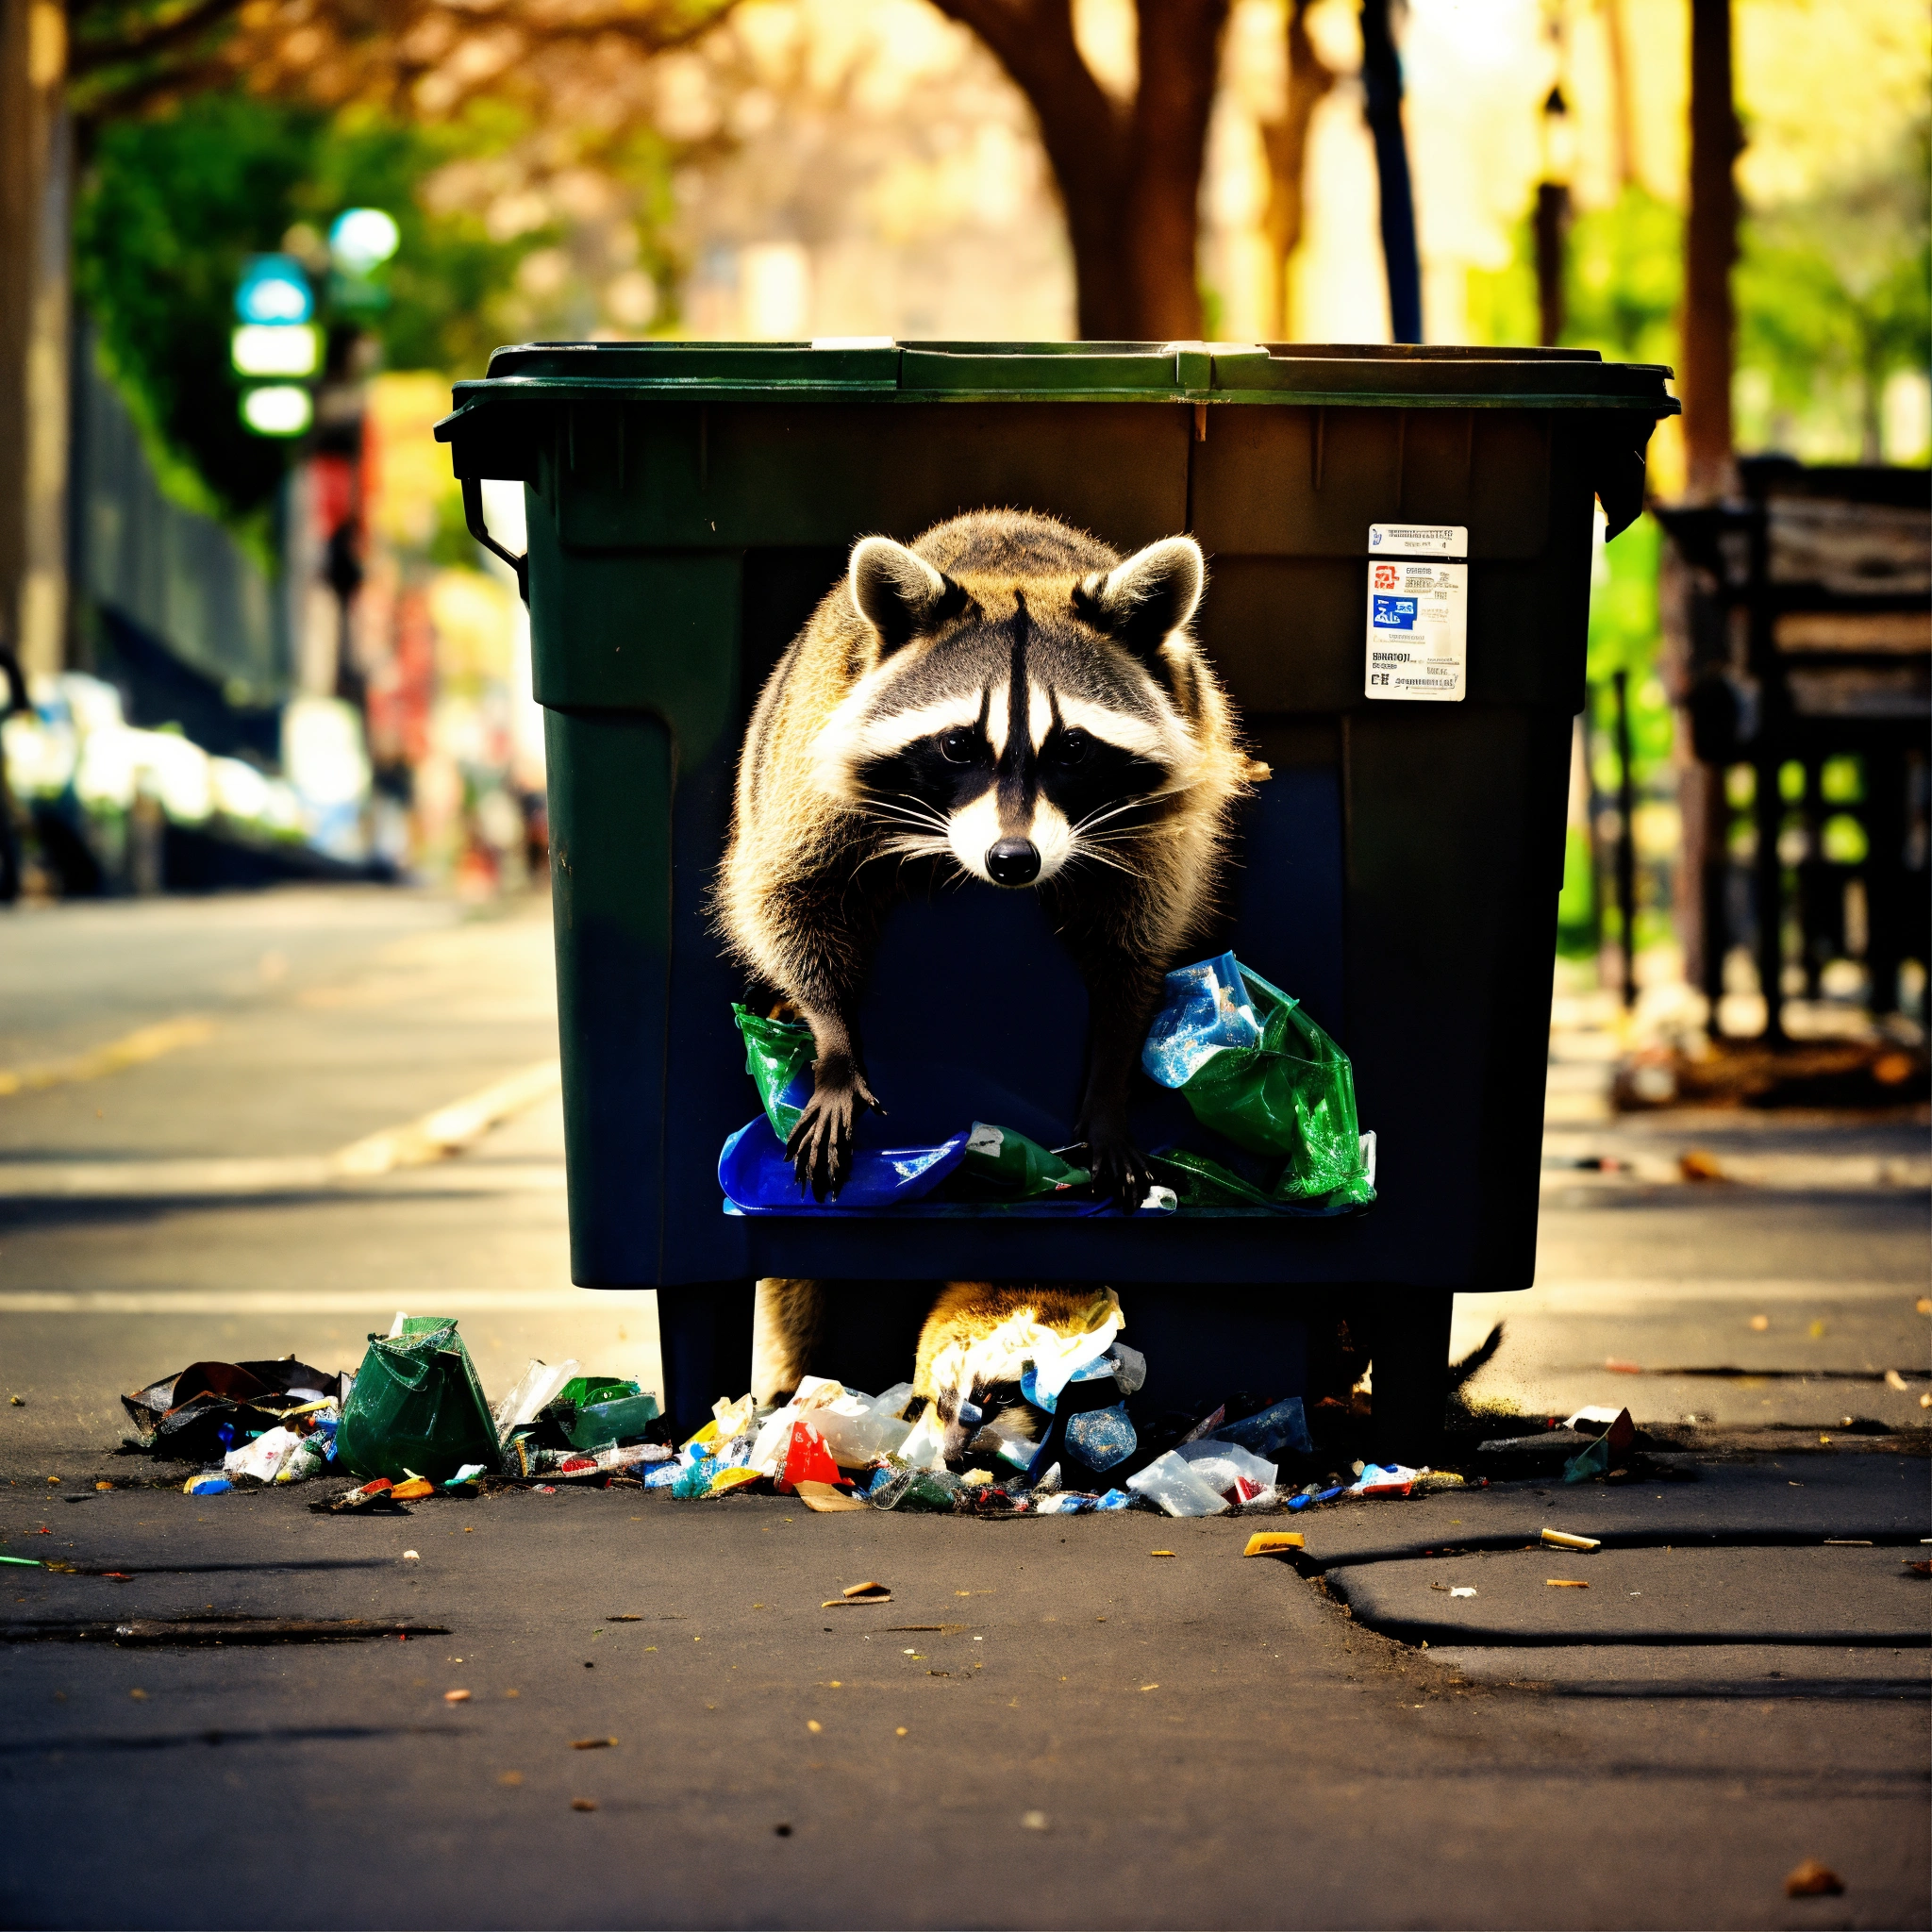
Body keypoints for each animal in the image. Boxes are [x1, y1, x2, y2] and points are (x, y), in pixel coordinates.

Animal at [717, 509, 1260, 1208]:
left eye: (1073, 749)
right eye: (958, 746)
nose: (1013, 860)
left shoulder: (1160, 830)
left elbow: (1135, 943)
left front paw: (1112, 1074)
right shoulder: (807, 781)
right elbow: (791, 899)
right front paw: (833, 1037)